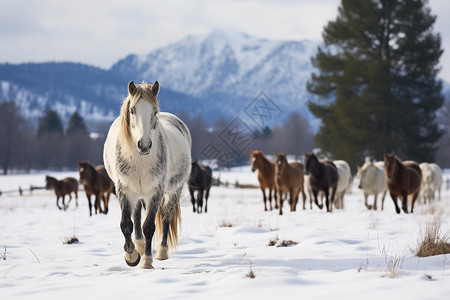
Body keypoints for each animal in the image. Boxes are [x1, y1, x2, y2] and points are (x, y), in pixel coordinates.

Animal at [103, 81, 192, 268]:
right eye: (132, 110)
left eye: (154, 111)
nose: (143, 145)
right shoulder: (123, 189)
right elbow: (126, 224)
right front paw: (131, 256)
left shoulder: (156, 192)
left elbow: (149, 226)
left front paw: (147, 261)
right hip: (137, 194)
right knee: (136, 216)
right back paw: (140, 245)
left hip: (174, 191)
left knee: (165, 217)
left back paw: (162, 252)